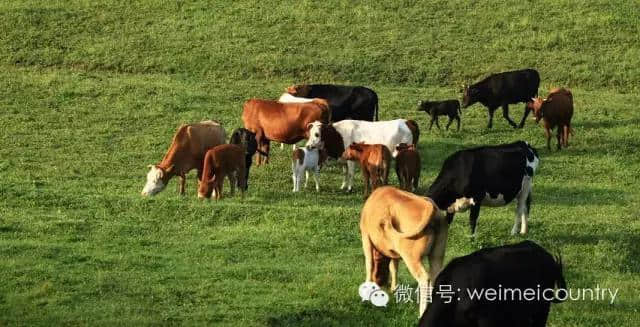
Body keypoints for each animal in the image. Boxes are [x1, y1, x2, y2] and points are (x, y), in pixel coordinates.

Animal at [360, 187, 476, 318]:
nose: (380, 283)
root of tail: (430, 206)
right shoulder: (393, 252)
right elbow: (394, 267)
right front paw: (394, 288)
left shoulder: (365, 236)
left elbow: (369, 264)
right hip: (437, 253)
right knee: (435, 275)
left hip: (411, 257)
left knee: (424, 278)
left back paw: (422, 312)